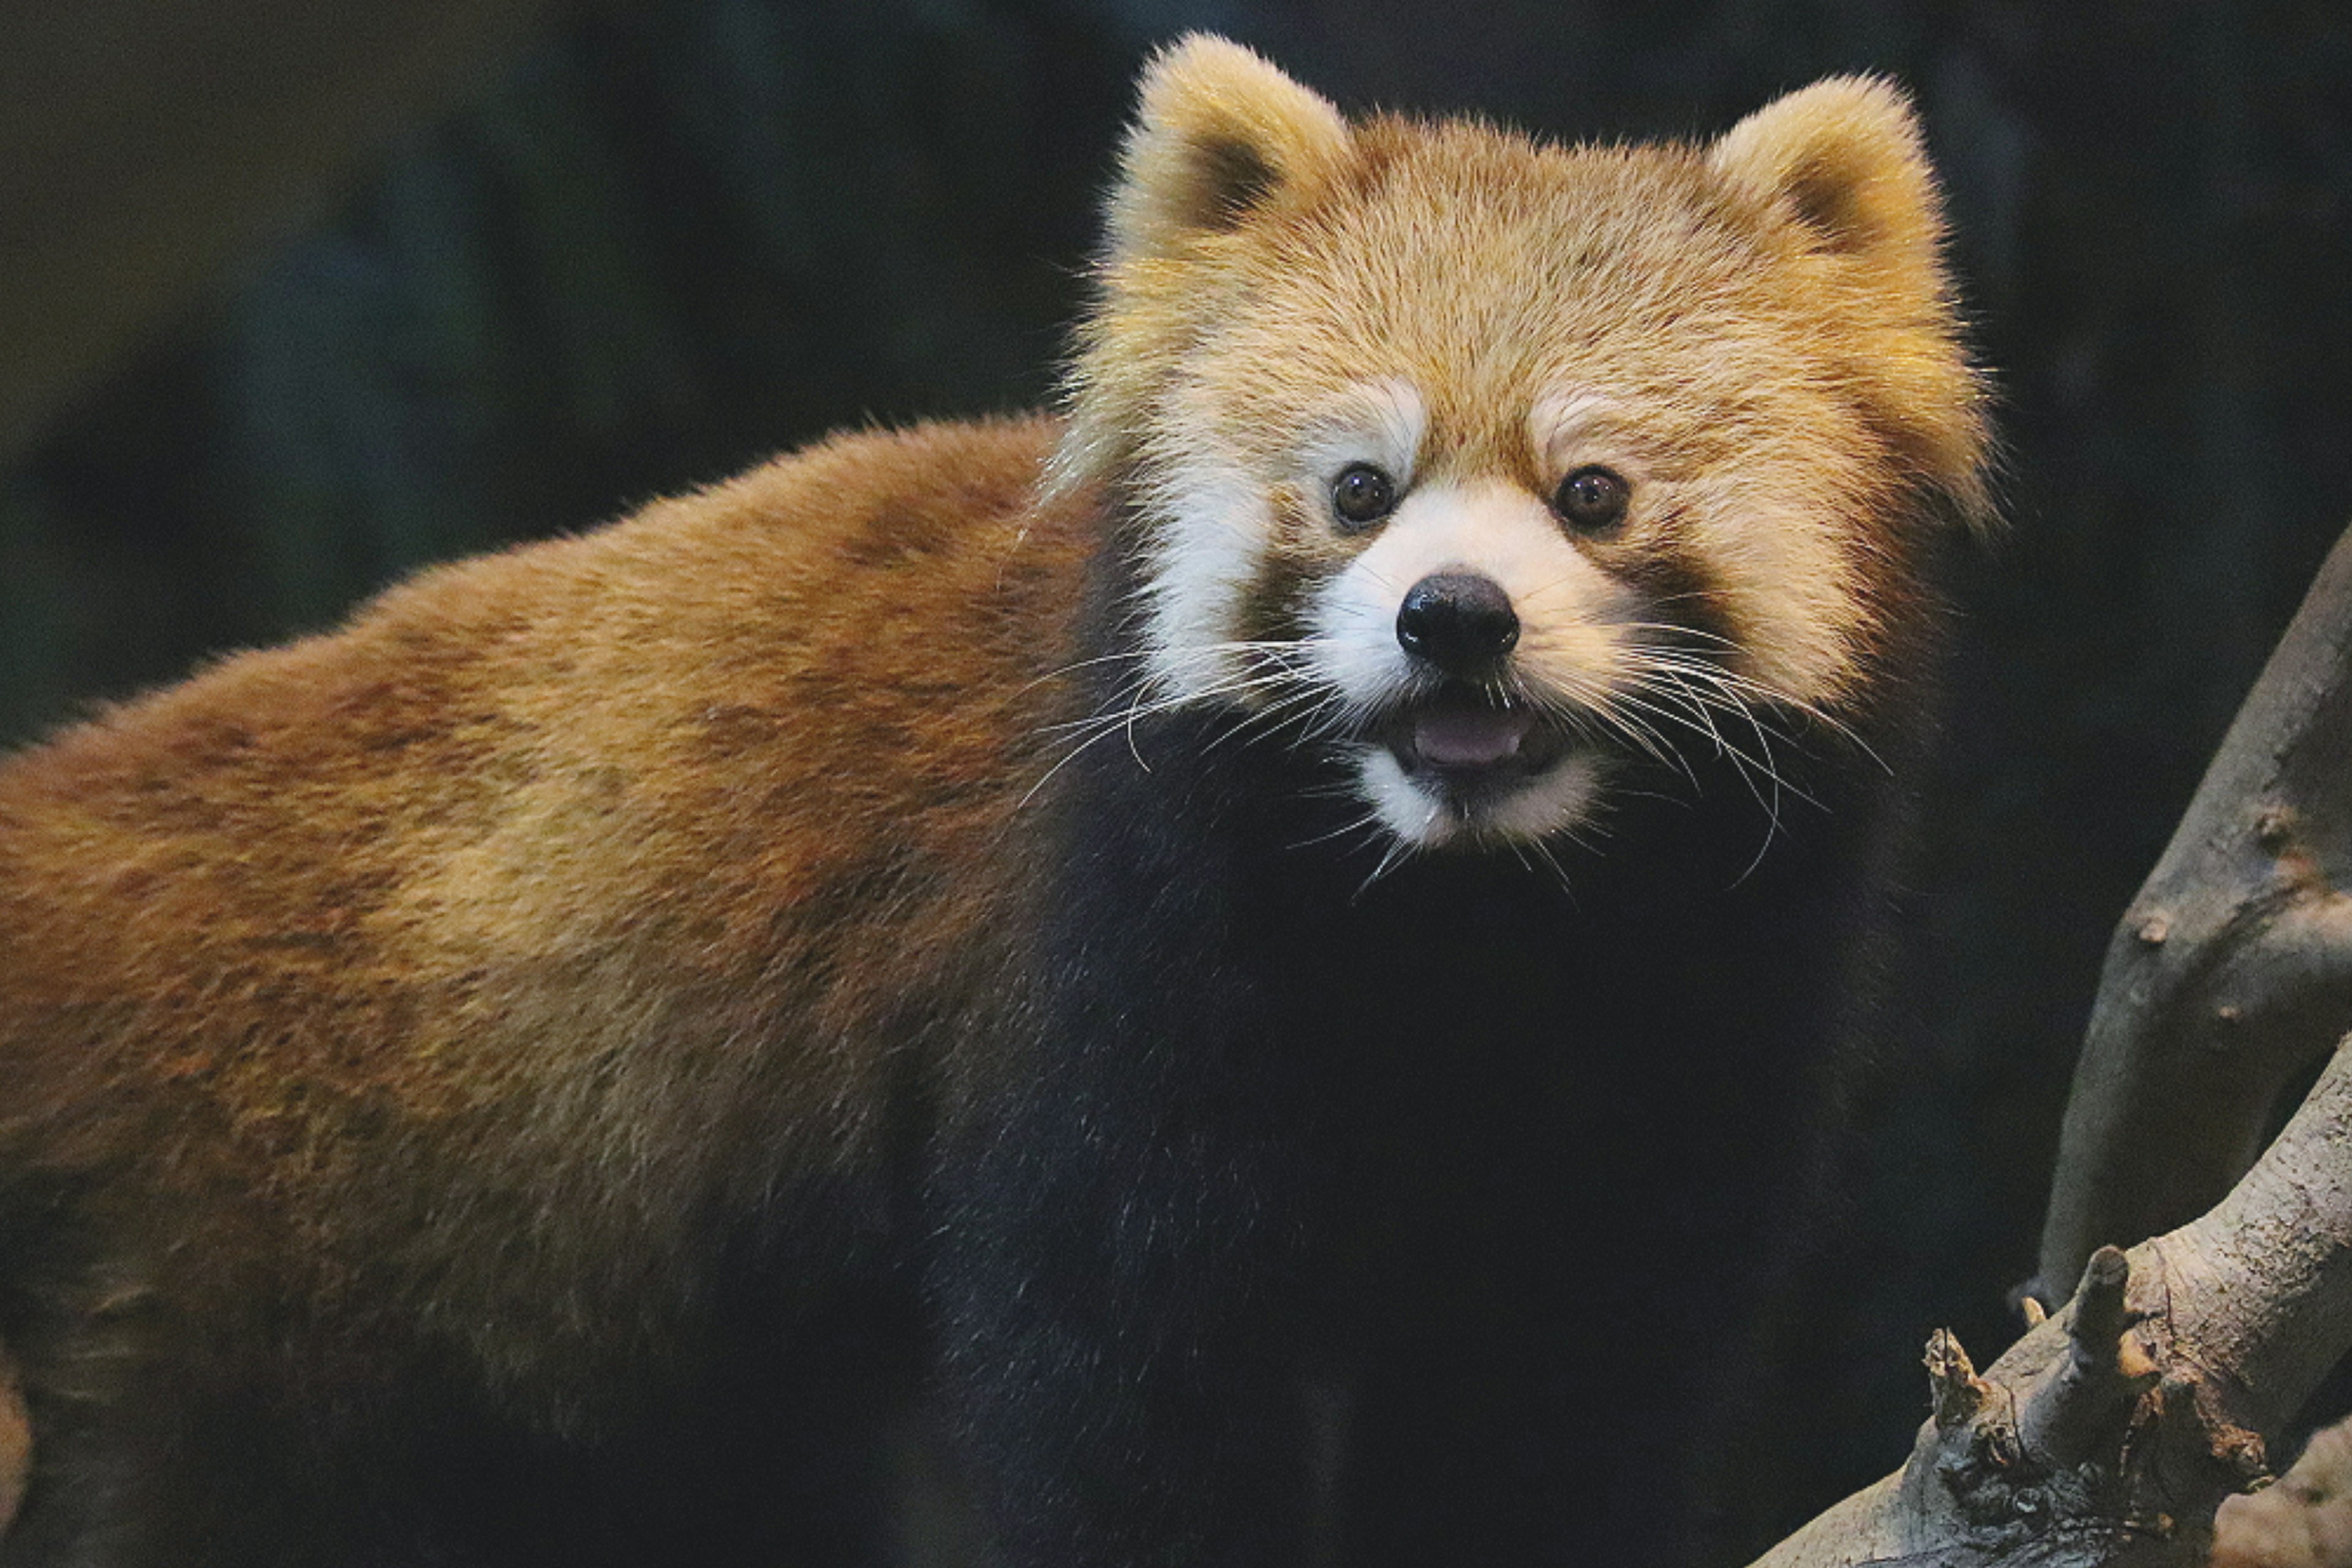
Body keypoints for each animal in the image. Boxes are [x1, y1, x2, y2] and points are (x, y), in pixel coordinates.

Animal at [0, 36, 1985, 1568]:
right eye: (1357, 487)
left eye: (1590, 493)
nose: (1450, 618)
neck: (1458, 918)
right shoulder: (1099, 971)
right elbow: (1116, 1379)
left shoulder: (1692, 1035)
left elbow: (1557, 1393)